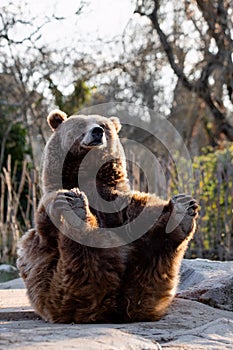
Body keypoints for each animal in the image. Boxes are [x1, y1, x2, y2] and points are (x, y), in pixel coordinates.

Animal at [16, 109, 198, 322]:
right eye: (80, 125)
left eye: (103, 126)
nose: (97, 132)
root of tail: (111, 307)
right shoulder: (49, 206)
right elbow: (48, 224)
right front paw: (72, 201)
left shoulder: (115, 199)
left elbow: (140, 211)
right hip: (52, 286)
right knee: (80, 264)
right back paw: (77, 210)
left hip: (144, 276)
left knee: (153, 260)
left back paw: (181, 214)